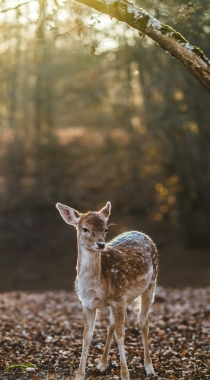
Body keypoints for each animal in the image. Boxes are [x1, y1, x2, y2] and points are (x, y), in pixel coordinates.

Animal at [55, 200, 158, 378]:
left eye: (106, 229)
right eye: (85, 228)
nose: (101, 243)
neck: (95, 287)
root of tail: (142, 233)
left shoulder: (120, 299)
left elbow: (121, 335)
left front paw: (125, 375)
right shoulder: (88, 304)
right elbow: (86, 336)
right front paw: (79, 375)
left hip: (151, 285)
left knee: (143, 322)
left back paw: (149, 368)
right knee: (111, 325)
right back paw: (102, 364)